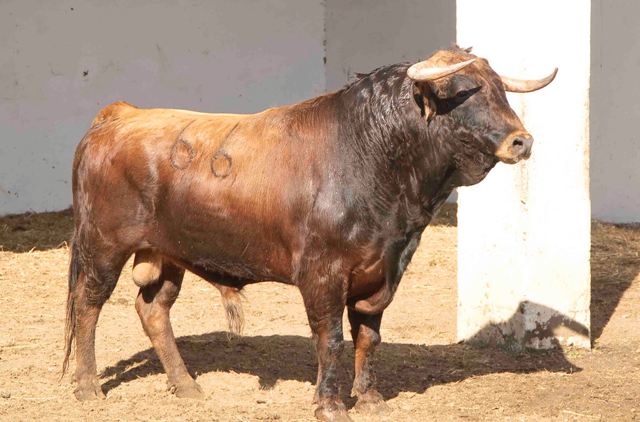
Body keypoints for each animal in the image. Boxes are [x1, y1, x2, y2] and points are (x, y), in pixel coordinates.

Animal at [62, 47, 556, 420]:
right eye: (460, 93)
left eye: (499, 89)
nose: (522, 141)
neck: (371, 153)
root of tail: (118, 115)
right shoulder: (323, 274)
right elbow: (331, 337)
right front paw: (330, 404)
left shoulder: (383, 268)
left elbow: (368, 335)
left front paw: (370, 399)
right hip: (103, 246)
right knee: (88, 304)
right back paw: (88, 387)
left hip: (168, 254)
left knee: (153, 309)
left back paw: (186, 386)